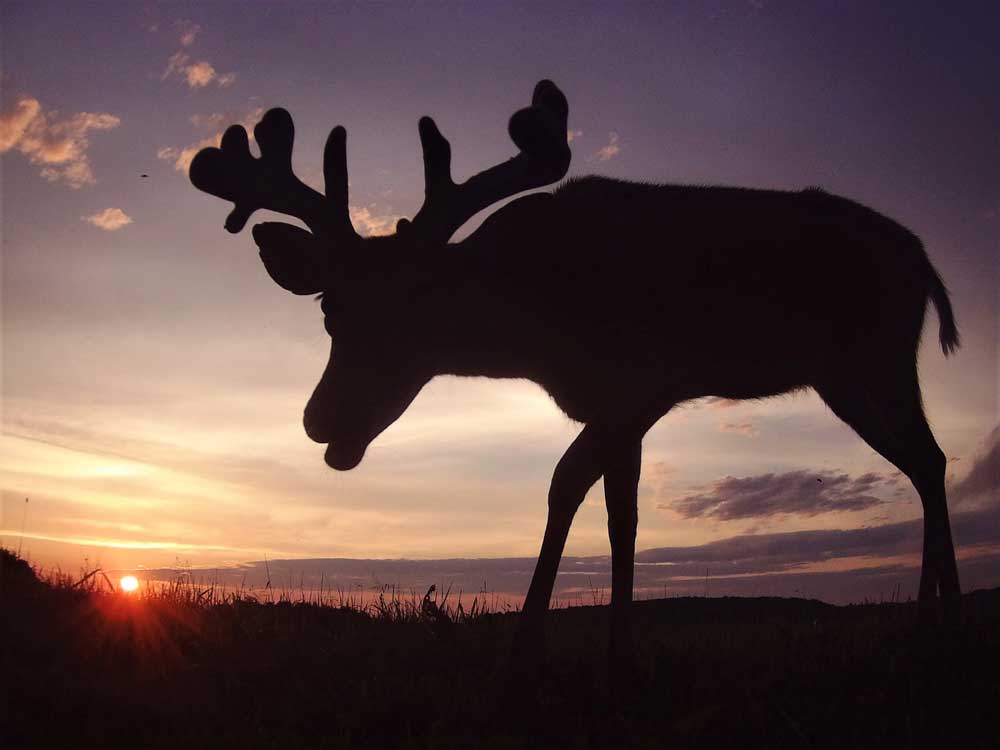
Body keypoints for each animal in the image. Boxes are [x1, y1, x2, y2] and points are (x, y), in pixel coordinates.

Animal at [188, 79, 960, 692]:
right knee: (926, 461)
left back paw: (938, 627)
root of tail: (923, 259)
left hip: (882, 356)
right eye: (329, 308)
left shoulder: (642, 386)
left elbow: (570, 487)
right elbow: (619, 513)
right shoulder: (627, 404)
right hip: (845, 377)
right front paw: (615, 659)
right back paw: (935, 624)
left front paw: (533, 654)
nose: (321, 420)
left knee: (929, 458)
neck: (542, 324)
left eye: (419, 308)